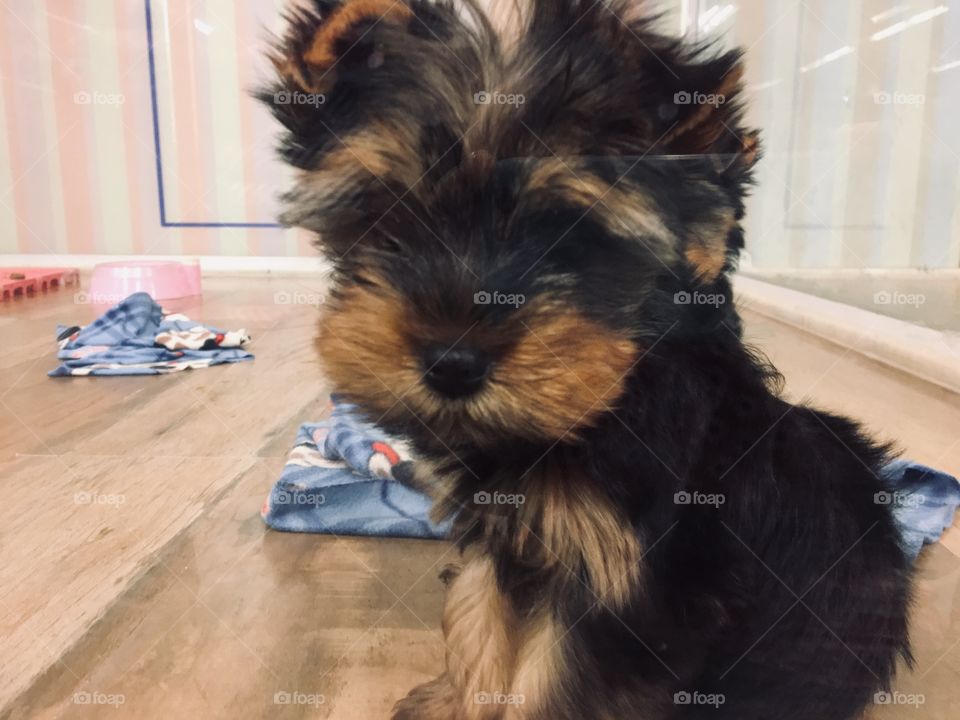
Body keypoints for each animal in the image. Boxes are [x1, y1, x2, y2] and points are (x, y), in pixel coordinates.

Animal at [266, 1, 912, 720]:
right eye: (390, 217)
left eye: (574, 238)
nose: (452, 361)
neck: (613, 398)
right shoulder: (505, 536)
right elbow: (478, 618)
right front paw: (459, 696)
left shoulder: (623, 589)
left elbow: (550, 688)